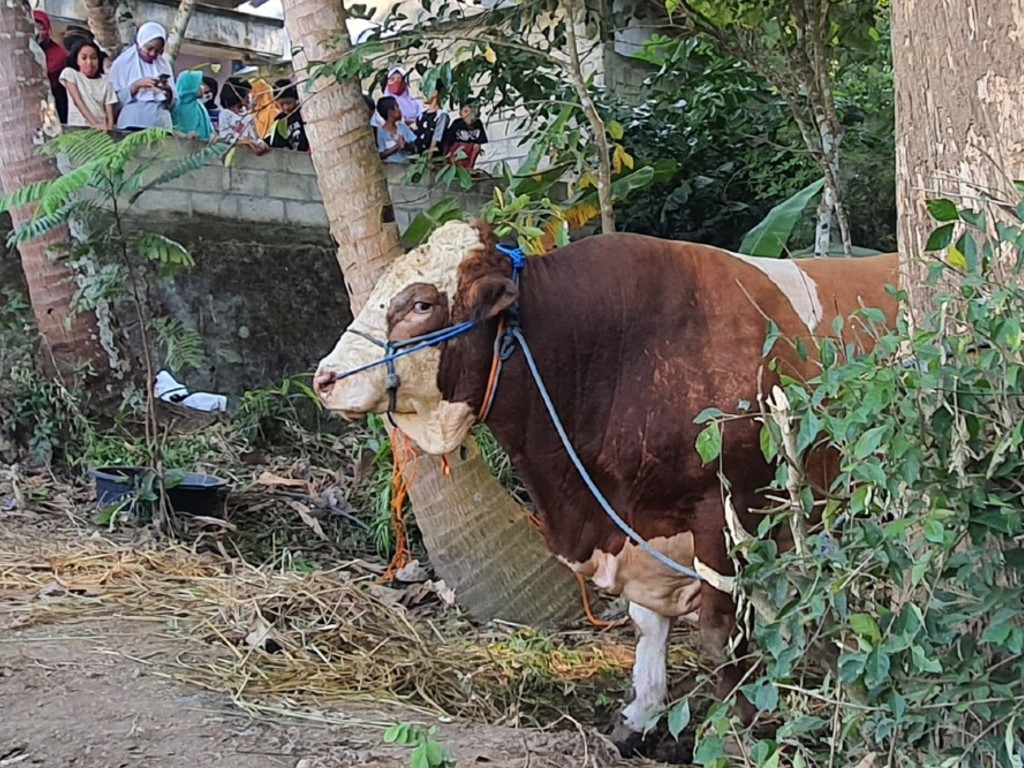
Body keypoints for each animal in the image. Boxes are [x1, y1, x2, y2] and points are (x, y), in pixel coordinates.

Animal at [313, 222, 897, 753]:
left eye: (421, 305)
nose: (324, 378)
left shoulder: (732, 508)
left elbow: (721, 631)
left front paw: (740, 731)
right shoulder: (641, 531)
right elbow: (648, 625)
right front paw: (639, 717)